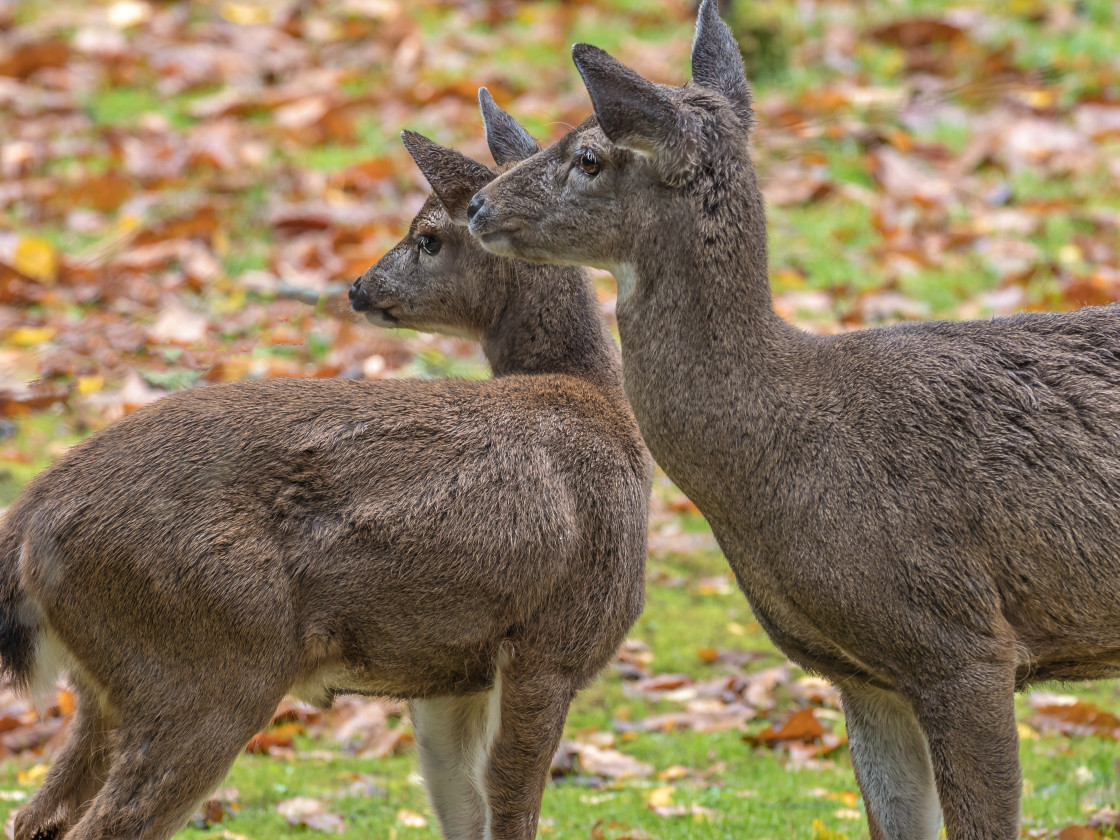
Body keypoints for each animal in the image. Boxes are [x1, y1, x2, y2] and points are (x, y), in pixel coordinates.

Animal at [0, 95, 654, 840]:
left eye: (427, 237)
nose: (358, 287)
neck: (601, 404)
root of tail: (29, 521)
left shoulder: (454, 674)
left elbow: (464, 806)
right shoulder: (555, 639)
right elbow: (512, 808)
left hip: (107, 685)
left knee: (38, 813)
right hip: (207, 663)